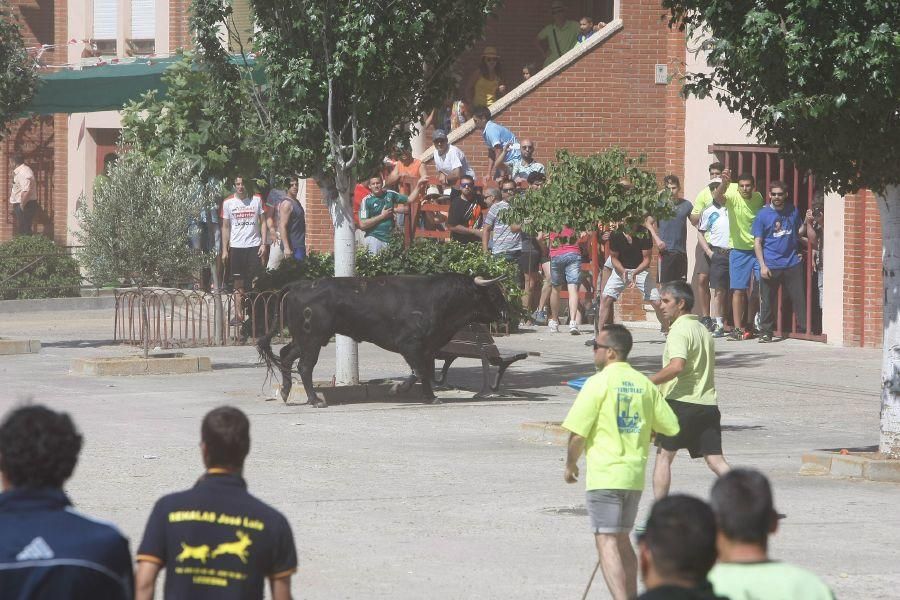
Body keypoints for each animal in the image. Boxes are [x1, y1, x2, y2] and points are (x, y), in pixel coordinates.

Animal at [255, 274, 506, 408]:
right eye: (494, 294)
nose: (505, 313)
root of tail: (299, 285)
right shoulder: (410, 344)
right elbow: (418, 371)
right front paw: (397, 389)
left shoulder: (427, 348)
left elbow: (424, 371)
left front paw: (431, 397)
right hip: (313, 338)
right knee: (305, 366)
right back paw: (315, 400)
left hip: (304, 339)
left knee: (286, 355)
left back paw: (286, 392)